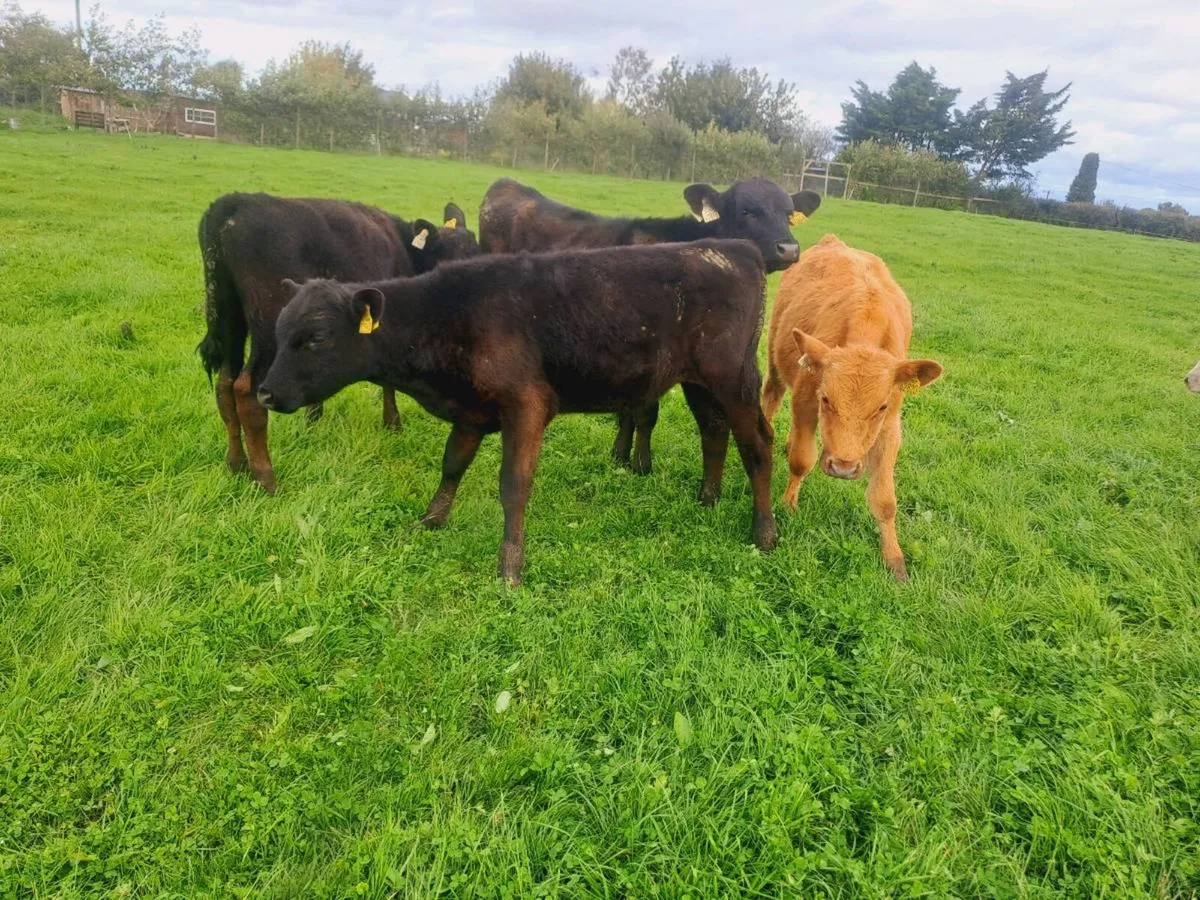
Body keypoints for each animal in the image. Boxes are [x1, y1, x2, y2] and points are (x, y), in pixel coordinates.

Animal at [196, 193, 480, 494]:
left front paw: (313, 420)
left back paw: (236, 465)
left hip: (230, 319)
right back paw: (265, 478)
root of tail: (237, 201)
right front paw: (393, 423)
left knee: (224, 386)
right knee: (247, 392)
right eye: (453, 259)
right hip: (267, 327)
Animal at [255, 239, 778, 586]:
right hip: (698, 382)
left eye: (316, 338)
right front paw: (430, 520)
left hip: (733, 380)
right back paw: (707, 499)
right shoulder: (471, 411)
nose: (264, 394)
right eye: (279, 330)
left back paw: (764, 532)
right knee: (714, 431)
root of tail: (732, 247)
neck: (449, 318)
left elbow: (513, 486)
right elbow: (452, 464)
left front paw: (509, 566)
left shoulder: (526, 405)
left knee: (757, 446)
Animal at [478, 177, 821, 476]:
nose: (789, 249)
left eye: (789, 214)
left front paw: (620, 454)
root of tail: (507, 184)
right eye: (747, 211)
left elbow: (630, 410)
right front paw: (641, 464)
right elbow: (645, 413)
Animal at [762, 234, 943, 582]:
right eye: (826, 399)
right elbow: (801, 461)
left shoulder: (890, 428)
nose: (843, 467)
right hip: (775, 361)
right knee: (771, 398)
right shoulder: (805, 405)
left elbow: (885, 500)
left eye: (881, 406)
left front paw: (894, 559)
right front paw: (789, 505)